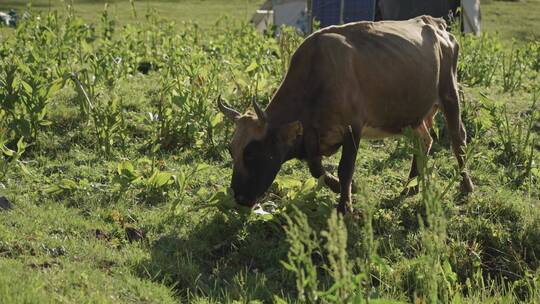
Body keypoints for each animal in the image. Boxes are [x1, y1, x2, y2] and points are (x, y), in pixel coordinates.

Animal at [218, 14, 472, 214]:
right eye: (231, 150)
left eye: (252, 153)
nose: (239, 198)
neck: (316, 76)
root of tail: (434, 23)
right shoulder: (312, 137)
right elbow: (317, 170)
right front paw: (346, 189)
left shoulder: (352, 128)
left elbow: (345, 169)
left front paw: (345, 206)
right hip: (413, 115)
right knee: (423, 141)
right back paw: (411, 187)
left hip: (449, 94)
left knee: (458, 140)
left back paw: (466, 186)